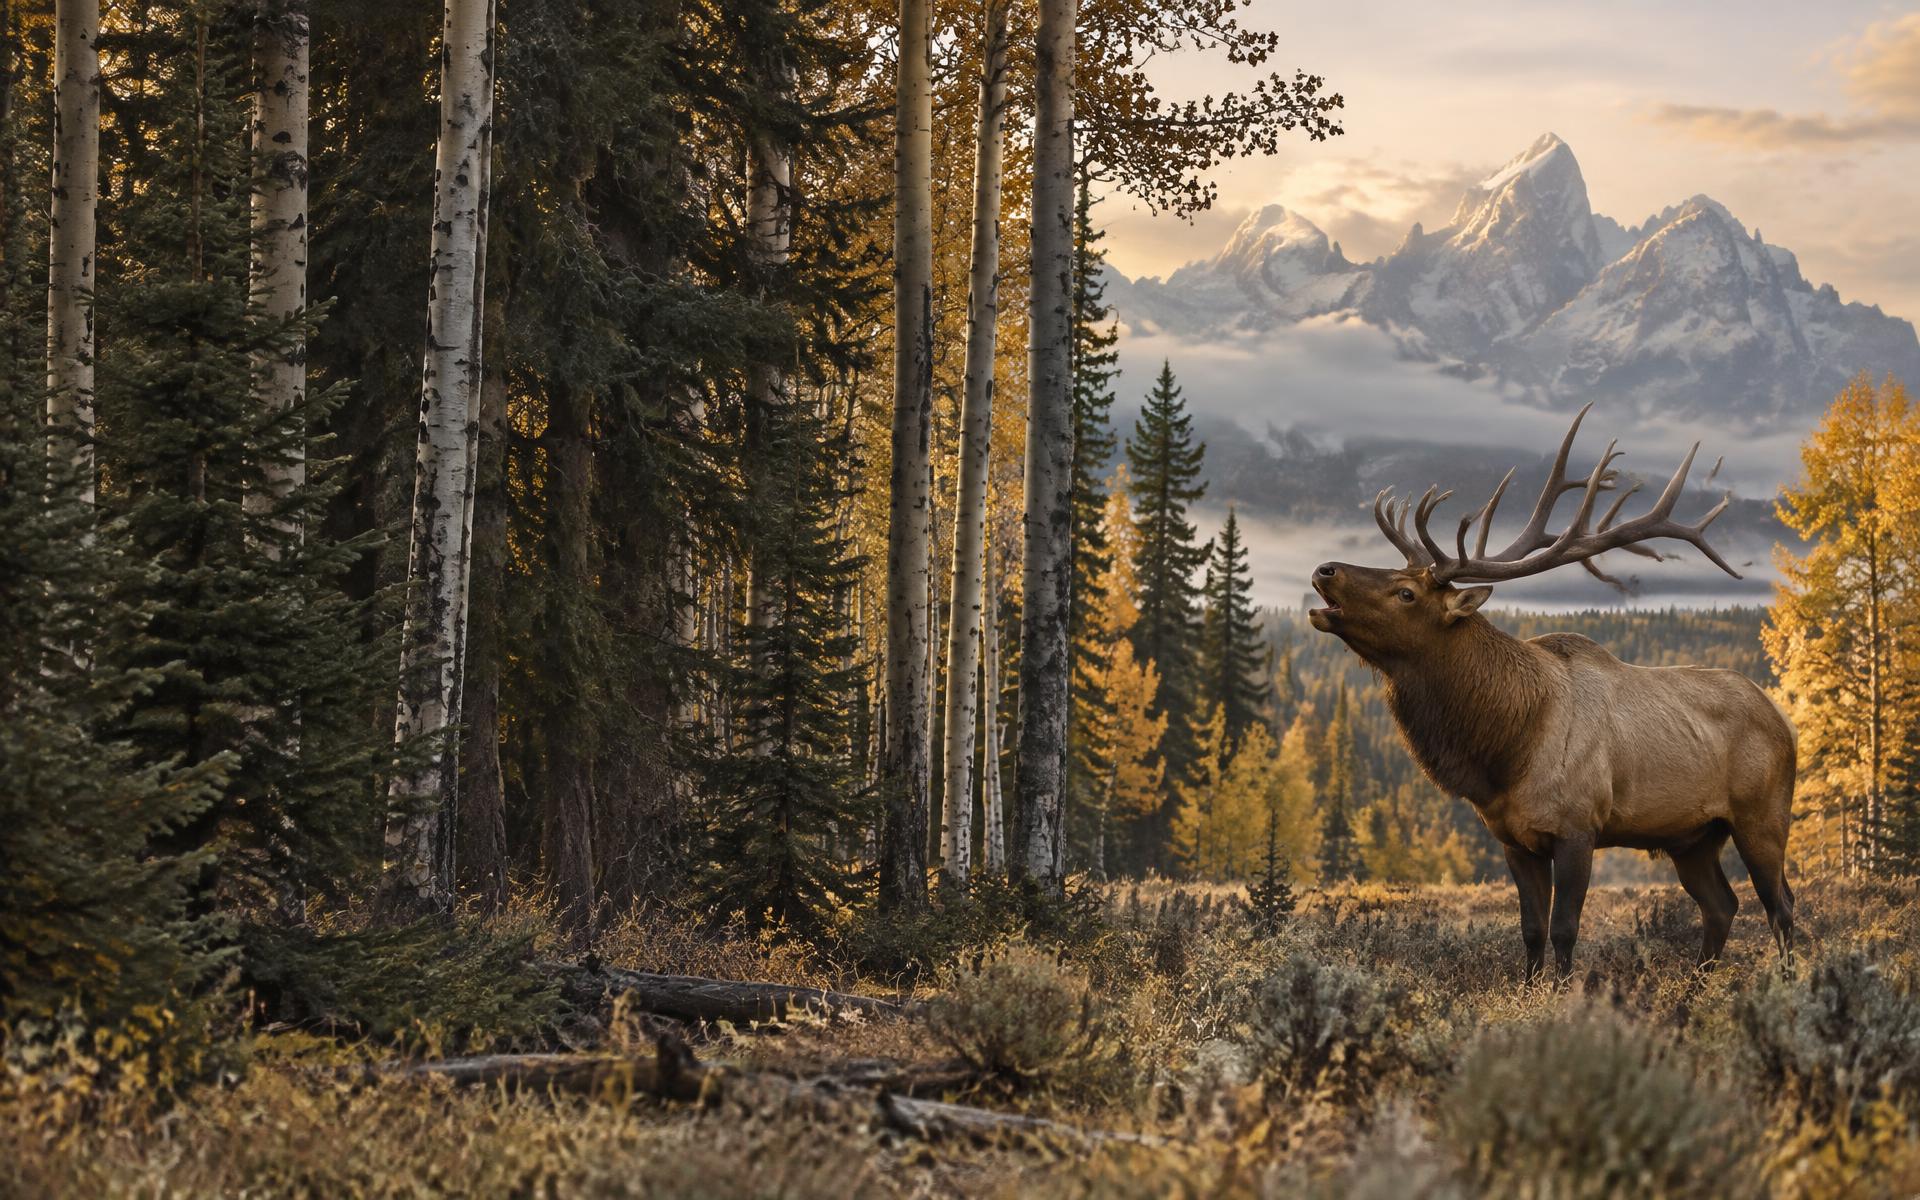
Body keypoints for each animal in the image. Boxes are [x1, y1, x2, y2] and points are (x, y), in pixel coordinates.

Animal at [1307, 406, 1795, 979]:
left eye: (1405, 593)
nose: (1324, 569)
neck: (1505, 753)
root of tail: (1783, 720)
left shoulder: (1579, 827)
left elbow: (1565, 929)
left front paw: (1563, 993)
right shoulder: (1514, 839)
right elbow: (1531, 930)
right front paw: (1531, 986)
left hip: (1763, 815)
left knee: (1780, 905)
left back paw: (1787, 981)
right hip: (1692, 837)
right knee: (1722, 904)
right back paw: (1697, 986)